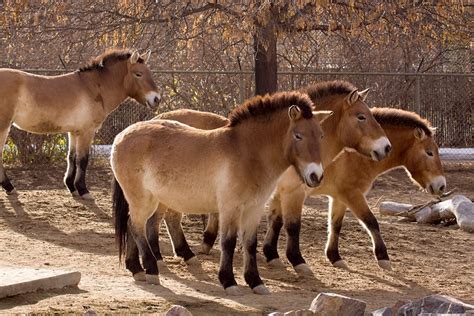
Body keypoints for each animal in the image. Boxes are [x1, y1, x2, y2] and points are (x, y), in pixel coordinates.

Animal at [0, 48, 161, 199]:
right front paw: (83, 190)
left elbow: (71, 158)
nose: (157, 99)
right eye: (138, 74)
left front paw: (72, 187)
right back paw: (9, 187)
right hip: (3, 127)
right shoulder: (87, 131)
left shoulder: (74, 131)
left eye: (149, 73)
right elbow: (83, 160)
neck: (93, 87)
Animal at [262, 107, 446, 272]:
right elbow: (371, 221)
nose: (441, 185)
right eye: (429, 152)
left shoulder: (338, 197)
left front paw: (334, 257)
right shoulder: (352, 194)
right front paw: (383, 258)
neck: (356, 154)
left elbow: (335, 225)